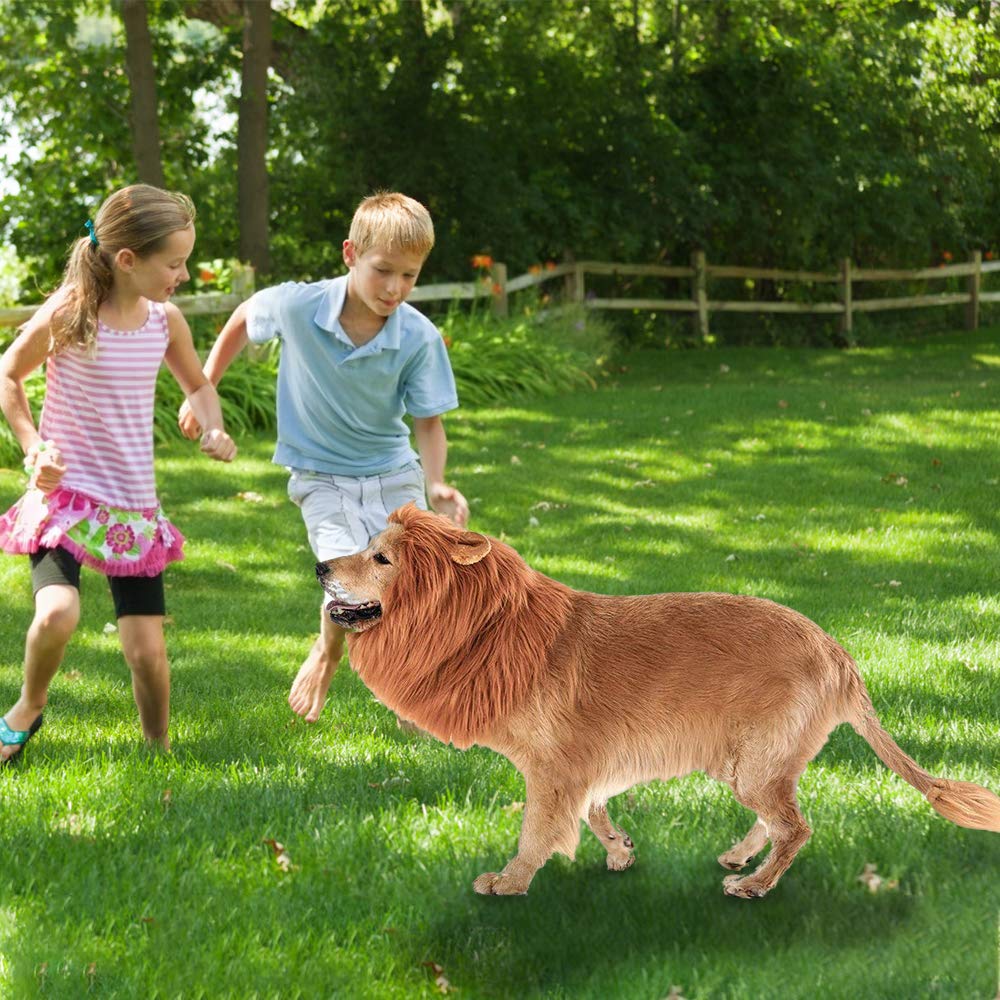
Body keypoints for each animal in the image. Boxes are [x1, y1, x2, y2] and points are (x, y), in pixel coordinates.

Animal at [316, 503, 1000, 899]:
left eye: (380, 557)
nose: (321, 568)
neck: (490, 625)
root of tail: (838, 654)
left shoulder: (555, 769)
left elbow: (537, 831)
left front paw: (509, 882)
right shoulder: (586, 762)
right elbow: (595, 812)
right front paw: (619, 850)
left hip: (754, 763)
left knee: (796, 827)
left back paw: (755, 884)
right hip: (751, 762)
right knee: (775, 819)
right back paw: (739, 857)